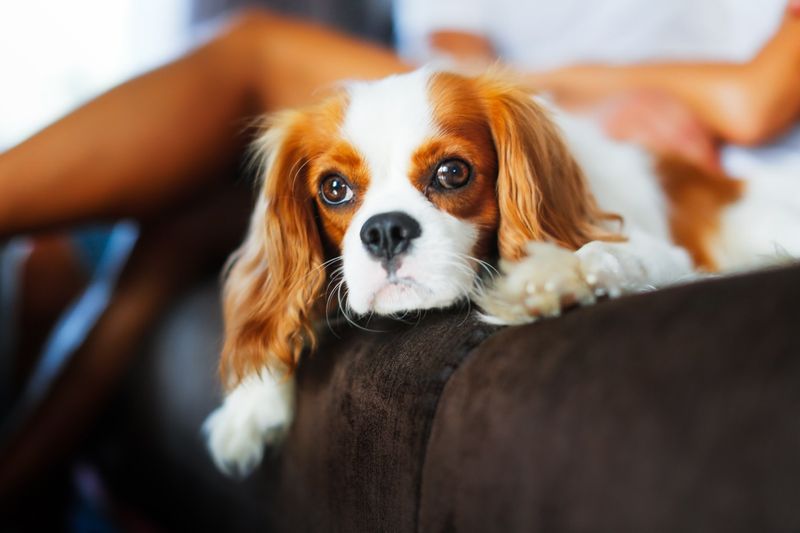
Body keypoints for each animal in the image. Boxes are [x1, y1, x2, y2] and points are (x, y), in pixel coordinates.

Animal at [202, 66, 800, 474]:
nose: (385, 230)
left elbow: (610, 254)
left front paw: (561, 274)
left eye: (452, 172)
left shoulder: (657, 249)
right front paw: (249, 403)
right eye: (333, 189)